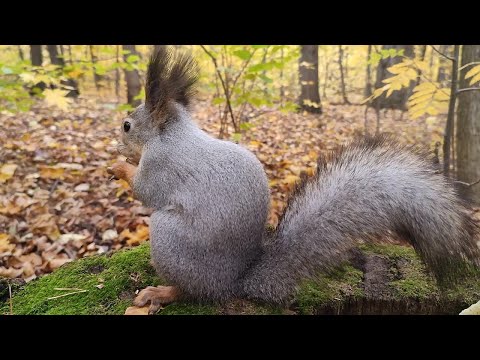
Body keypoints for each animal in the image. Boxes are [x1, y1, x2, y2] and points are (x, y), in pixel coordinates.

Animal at [108, 46, 480, 314]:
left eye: (127, 125)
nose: (116, 142)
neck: (173, 134)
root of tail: (231, 283)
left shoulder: (162, 165)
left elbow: (145, 190)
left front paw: (119, 166)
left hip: (168, 238)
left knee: (189, 291)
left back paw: (160, 292)